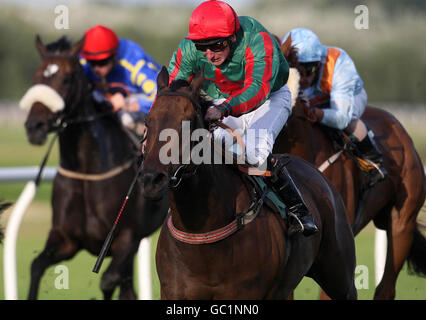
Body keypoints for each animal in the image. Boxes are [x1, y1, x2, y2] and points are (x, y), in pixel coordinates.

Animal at [21, 36, 168, 298]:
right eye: (37, 77)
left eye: (67, 78)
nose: (34, 126)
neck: (87, 172)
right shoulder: (66, 240)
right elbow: (36, 266)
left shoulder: (127, 238)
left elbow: (108, 282)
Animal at [141, 67, 358, 300]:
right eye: (148, 121)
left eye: (189, 121)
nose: (151, 179)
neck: (202, 234)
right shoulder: (173, 291)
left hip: (340, 277)